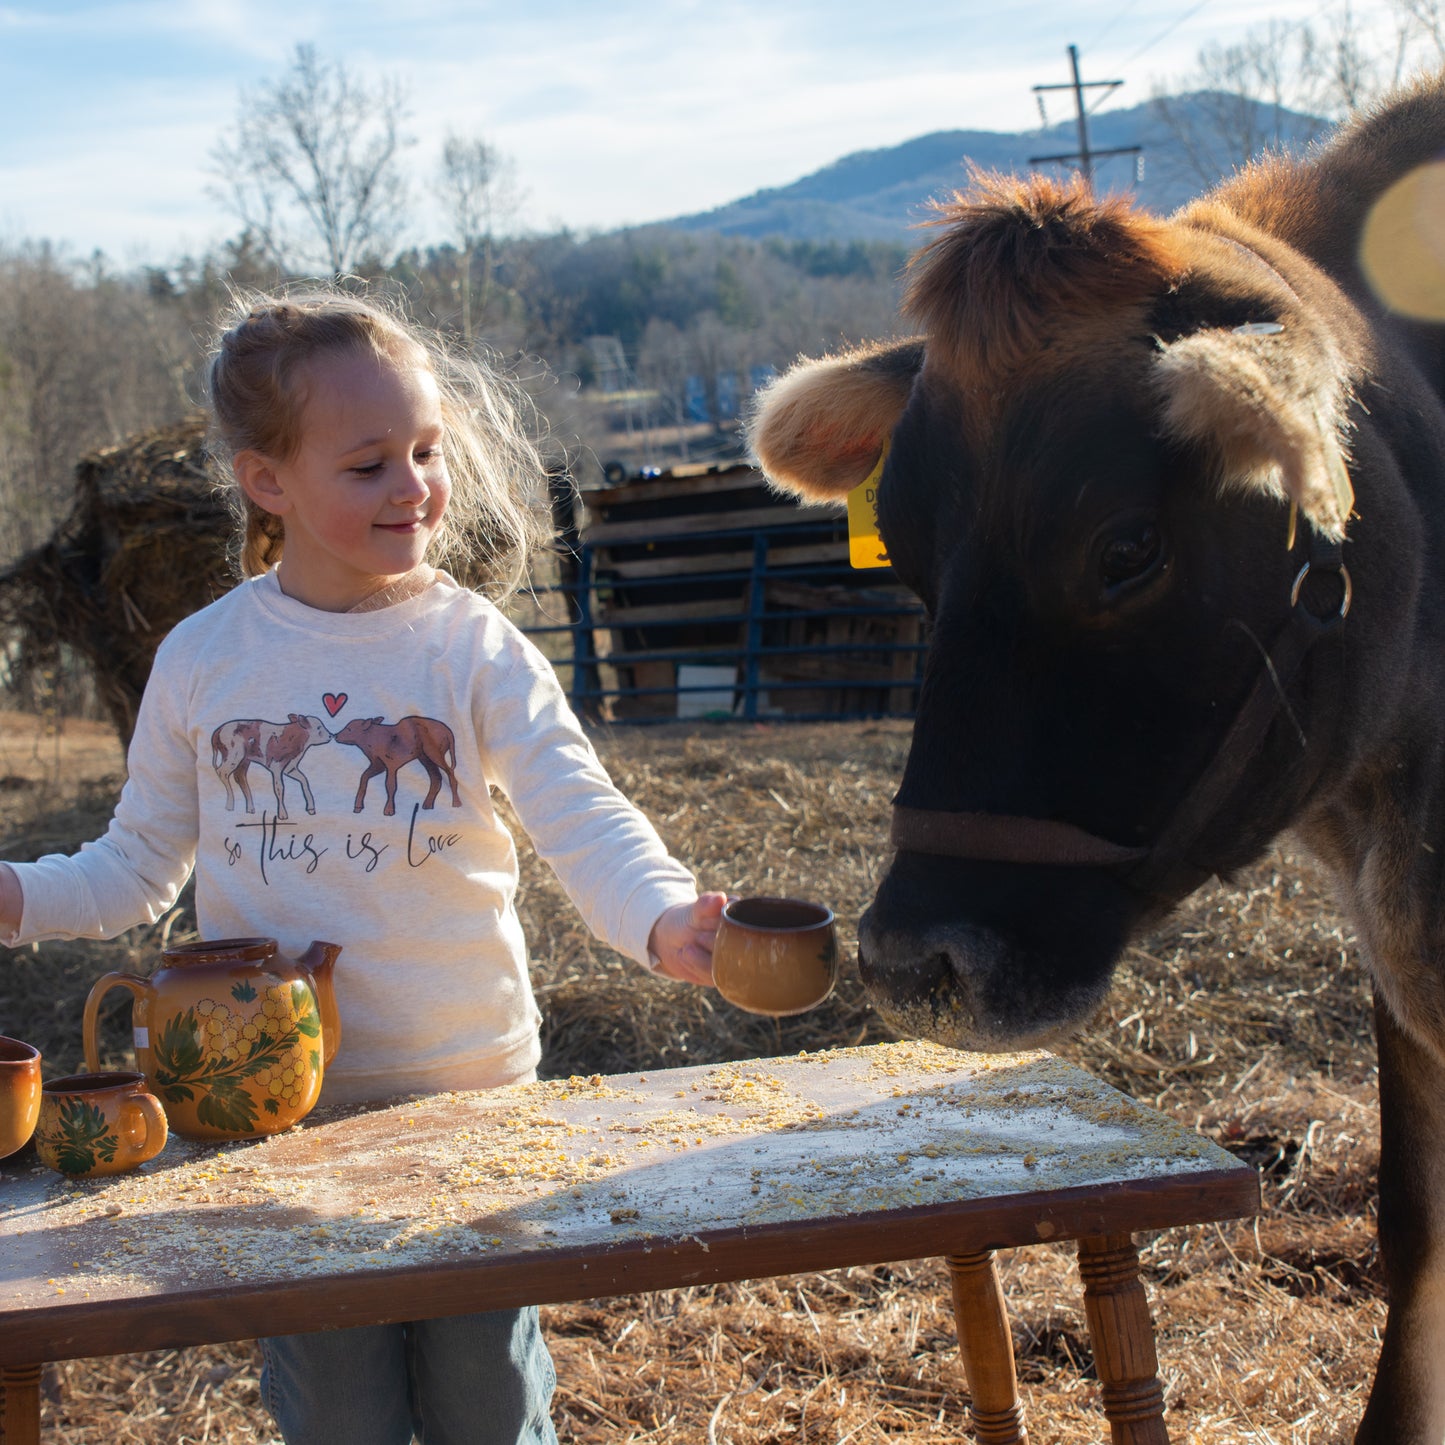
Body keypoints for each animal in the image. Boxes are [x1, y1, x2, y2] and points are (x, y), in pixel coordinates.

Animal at [330, 716, 459, 820]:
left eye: (349, 729)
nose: (335, 736)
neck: (371, 739)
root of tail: (449, 732)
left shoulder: (391, 765)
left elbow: (390, 786)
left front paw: (388, 810)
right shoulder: (378, 765)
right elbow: (364, 777)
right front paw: (358, 806)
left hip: (434, 754)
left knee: (450, 773)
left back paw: (456, 803)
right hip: (424, 758)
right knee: (436, 777)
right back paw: (427, 805)